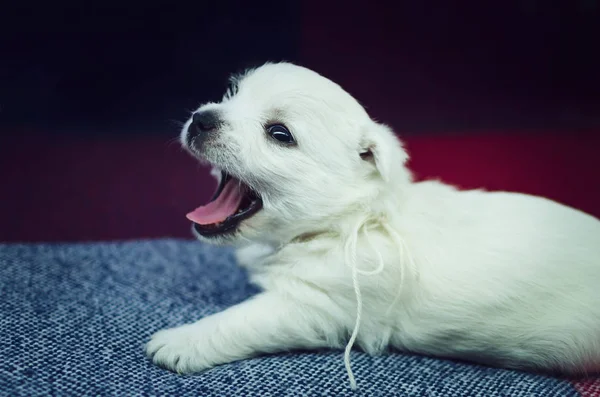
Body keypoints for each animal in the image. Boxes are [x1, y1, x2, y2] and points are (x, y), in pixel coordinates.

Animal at [145, 62, 600, 386]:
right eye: (231, 95)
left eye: (279, 133)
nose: (202, 118)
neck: (352, 219)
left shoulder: (313, 307)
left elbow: (240, 319)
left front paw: (180, 341)